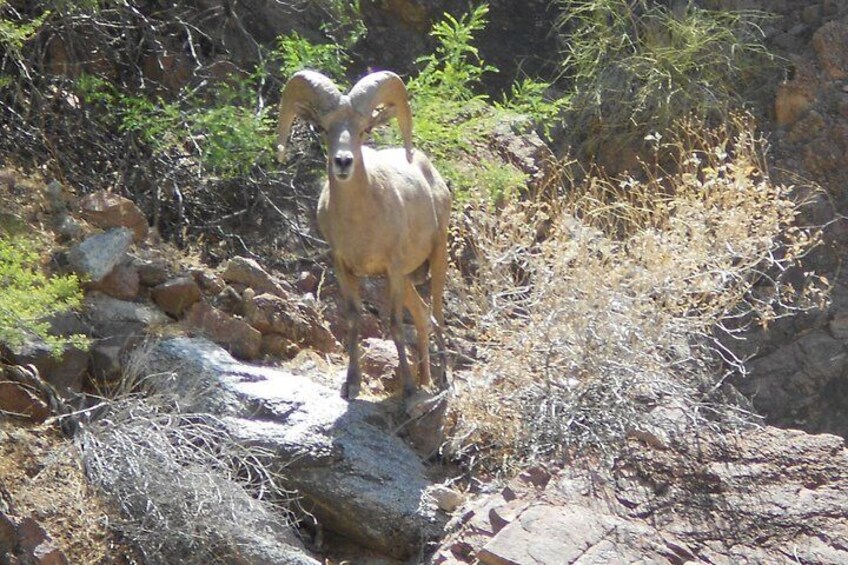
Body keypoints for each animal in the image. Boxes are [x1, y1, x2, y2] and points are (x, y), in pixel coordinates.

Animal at [276, 68, 450, 398]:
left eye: (365, 128)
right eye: (322, 128)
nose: (343, 162)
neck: (360, 223)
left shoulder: (393, 268)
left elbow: (394, 324)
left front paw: (408, 389)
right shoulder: (345, 268)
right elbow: (354, 319)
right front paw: (352, 384)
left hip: (436, 258)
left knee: (435, 313)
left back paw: (442, 384)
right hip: (406, 279)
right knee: (422, 316)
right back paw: (426, 381)